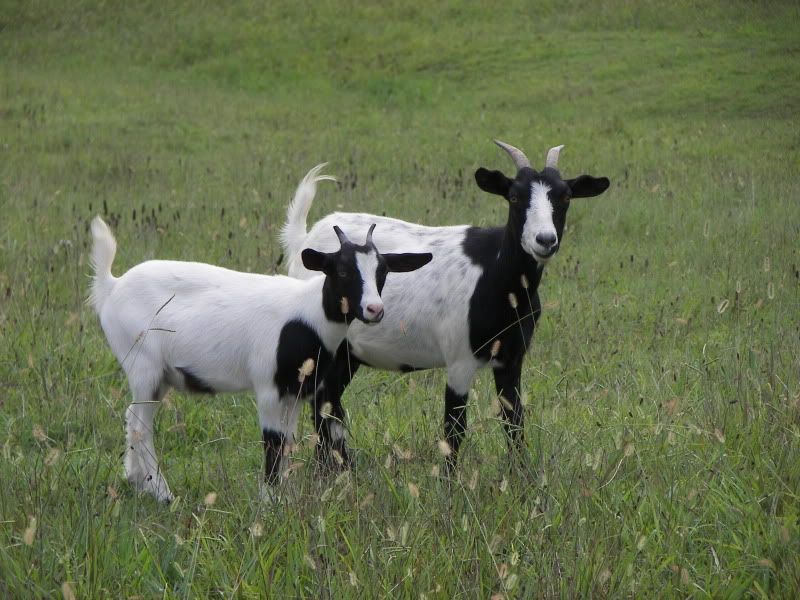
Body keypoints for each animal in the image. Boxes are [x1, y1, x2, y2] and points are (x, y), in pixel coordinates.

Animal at [89, 178, 432, 502]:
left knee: (133, 420)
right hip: (142, 365)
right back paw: (162, 493)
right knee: (139, 425)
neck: (308, 313)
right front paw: (269, 501)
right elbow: (273, 440)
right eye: (343, 271)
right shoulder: (269, 387)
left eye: (383, 272)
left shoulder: (295, 391)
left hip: (159, 376)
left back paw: (138, 482)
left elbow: (288, 441)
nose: (375, 309)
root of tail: (112, 285)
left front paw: (287, 496)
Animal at [282, 142, 610, 469]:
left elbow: (514, 422)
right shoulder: (459, 360)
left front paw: (522, 477)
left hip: (346, 354)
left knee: (326, 405)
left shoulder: (511, 359)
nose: (545, 240)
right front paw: (450, 481)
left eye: (565, 196)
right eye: (514, 196)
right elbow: (454, 429)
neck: (495, 275)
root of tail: (304, 241)